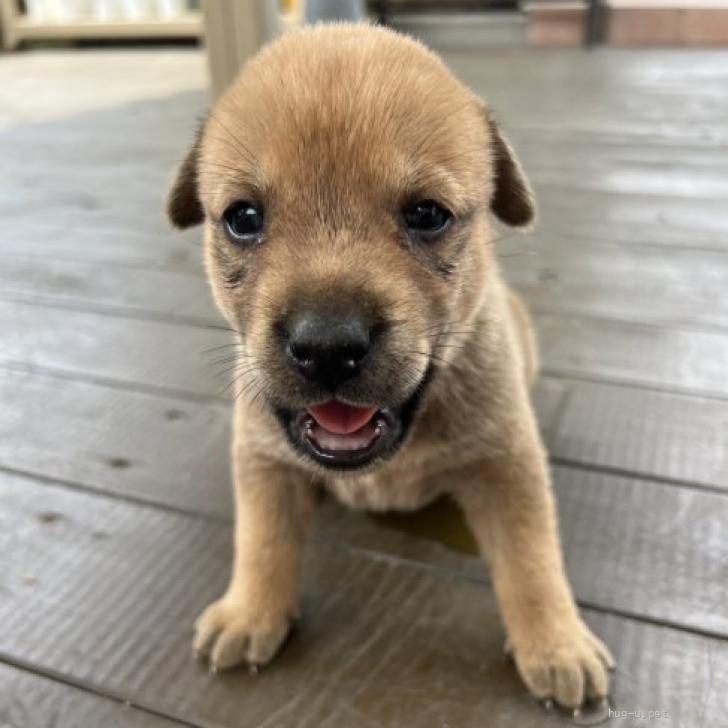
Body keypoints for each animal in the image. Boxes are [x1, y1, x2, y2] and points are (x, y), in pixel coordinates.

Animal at [167, 23, 613, 708]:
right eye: (243, 218)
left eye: (427, 215)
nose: (326, 346)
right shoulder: (265, 461)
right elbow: (262, 538)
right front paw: (249, 611)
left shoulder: (508, 465)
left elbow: (532, 556)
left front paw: (557, 643)